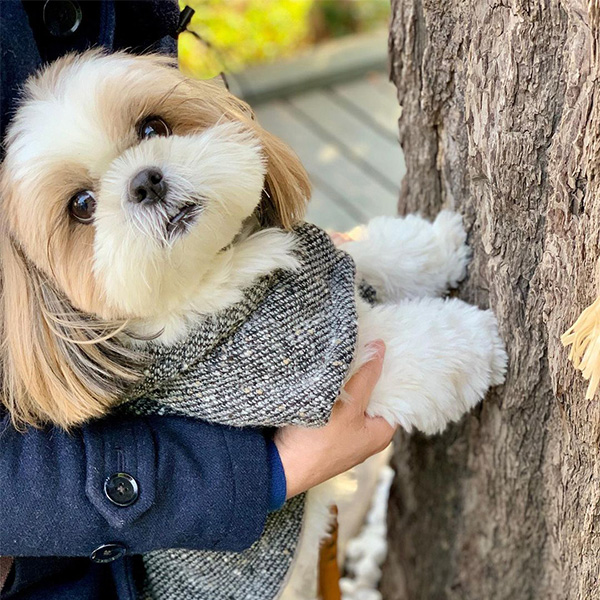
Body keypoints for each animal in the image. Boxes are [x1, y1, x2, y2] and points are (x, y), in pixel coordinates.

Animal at [0, 52, 506, 600]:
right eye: (81, 206)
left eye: (153, 127)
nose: (145, 181)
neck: (223, 275)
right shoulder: (308, 374)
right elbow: (401, 344)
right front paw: (478, 344)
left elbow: (375, 252)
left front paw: (436, 245)